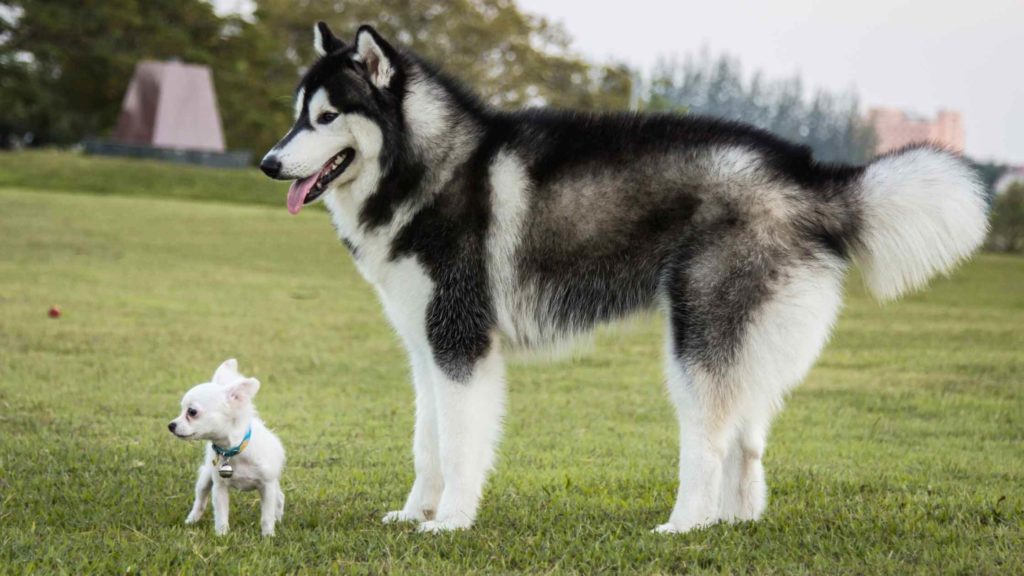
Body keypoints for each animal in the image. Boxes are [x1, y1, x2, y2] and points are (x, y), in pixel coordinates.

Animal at [167, 356, 286, 537]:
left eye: (192, 412)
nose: (171, 425)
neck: (234, 451)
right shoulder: (220, 487)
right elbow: (221, 515)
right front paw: (222, 535)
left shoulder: (267, 486)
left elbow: (266, 516)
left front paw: (268, 536)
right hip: (205, 478)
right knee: (200, 500)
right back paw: (191, 520)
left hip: (273, 484)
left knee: (279, 498)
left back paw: (278, 519)